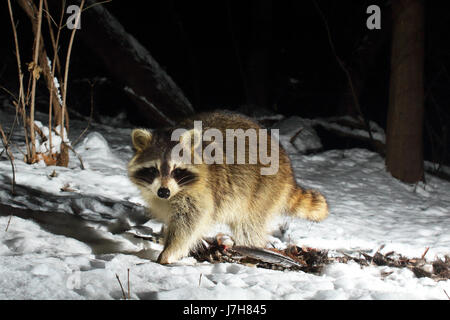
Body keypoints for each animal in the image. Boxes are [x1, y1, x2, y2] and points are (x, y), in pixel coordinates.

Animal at [128, 111, 328, 264]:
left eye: (176, 170)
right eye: (153, 170)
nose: (164, 192)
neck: (174, 193)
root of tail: (286, 163)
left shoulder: (201, 194)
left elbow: (189, 224)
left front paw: (170, 251)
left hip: (263, 189)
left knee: (248, 227)